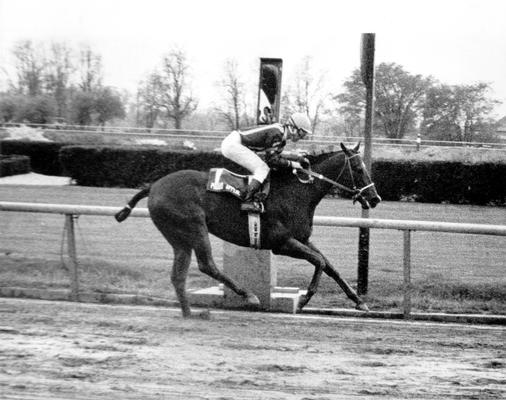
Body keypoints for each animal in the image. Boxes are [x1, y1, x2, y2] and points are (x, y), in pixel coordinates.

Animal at [115, 142, 380, 318]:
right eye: (359, 169)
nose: (374, 198)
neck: (297, 192)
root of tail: (153, 186)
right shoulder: (281, 243)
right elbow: (320, 262)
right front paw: (304, 299)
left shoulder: (302, 238)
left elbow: (330, 266)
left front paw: (359, 301)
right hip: (194, 227)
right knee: (206, 265)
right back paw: (248, 296)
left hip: (178, 237)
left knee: (178, 275)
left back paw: (190, 312)